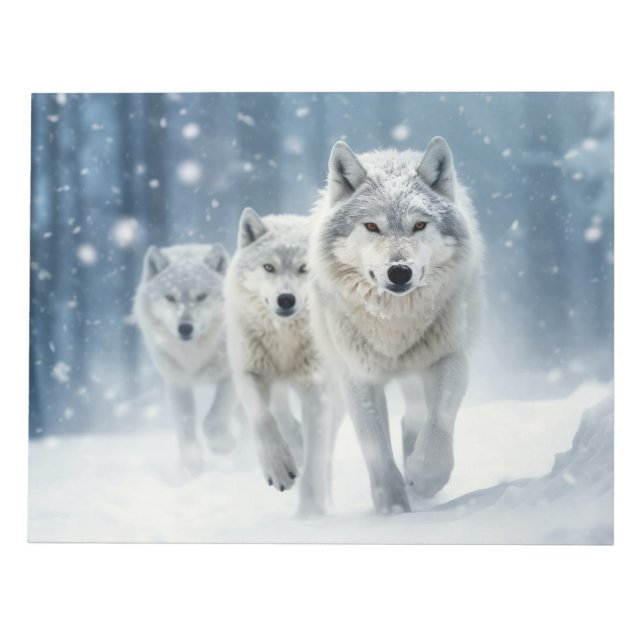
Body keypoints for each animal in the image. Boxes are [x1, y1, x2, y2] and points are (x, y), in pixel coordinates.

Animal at [134, 243, 237, 476]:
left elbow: (213, 421)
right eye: (170, 297)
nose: (185, 328)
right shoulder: (177, 384)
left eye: (201, 296)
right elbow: (186, 428)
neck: (195, 355)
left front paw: (223, 445)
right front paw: (191, 467)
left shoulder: (231, 377)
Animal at [225, 208, 336, 515]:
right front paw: (278, 468)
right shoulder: (250, 373)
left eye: (304, 268)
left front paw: (309, 513)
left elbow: (315, 456)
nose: (286, 299)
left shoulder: (317, 388)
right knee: (283, 415)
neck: (284, 340)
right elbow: (263, 419)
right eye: (268, 267)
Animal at [308, 137, 484, 514]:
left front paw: (425, 477)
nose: (399, 271)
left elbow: (439, 422)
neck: (393, 323)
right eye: (371, 226)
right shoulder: (358, 378)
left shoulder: (449, 358)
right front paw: (392, 509)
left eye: (419, 225)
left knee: (414, 417)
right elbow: (376, 450)